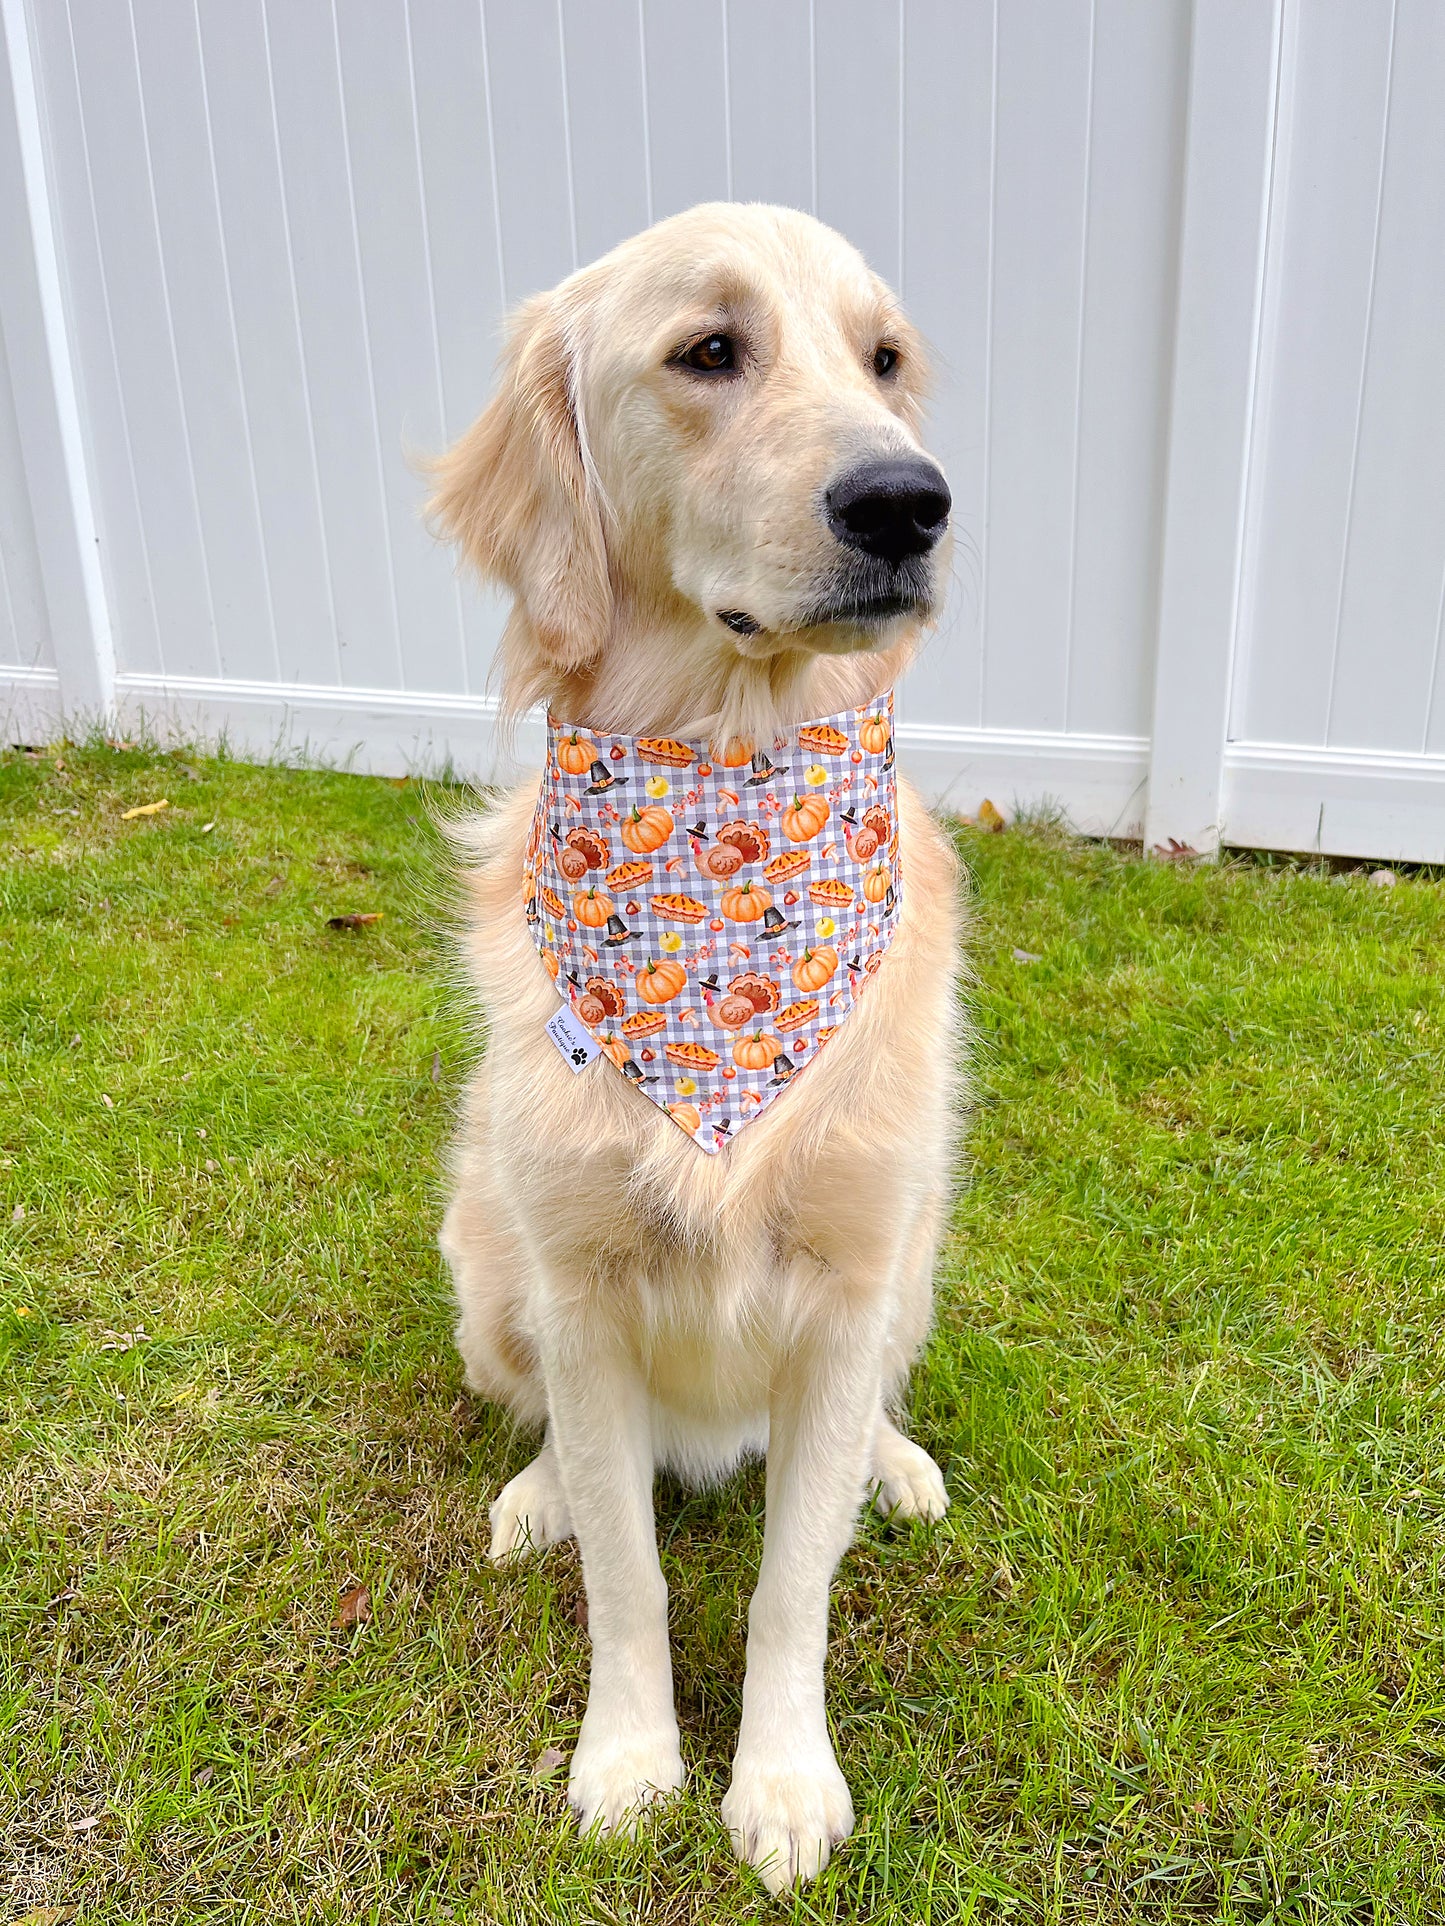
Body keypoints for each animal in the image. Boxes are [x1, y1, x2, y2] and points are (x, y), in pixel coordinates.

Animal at [435, 203, 967, 1887]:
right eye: (709, 351)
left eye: (885, 358)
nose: (908, 503)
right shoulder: (586, 1295)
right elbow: (632, 1574)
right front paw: (627, 1760)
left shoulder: (851, 1278)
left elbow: (793, 1582)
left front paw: (783, 1784)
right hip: (488, 1262)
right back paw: (537, 1490)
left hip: (916, 1261)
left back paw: (893, 1462)